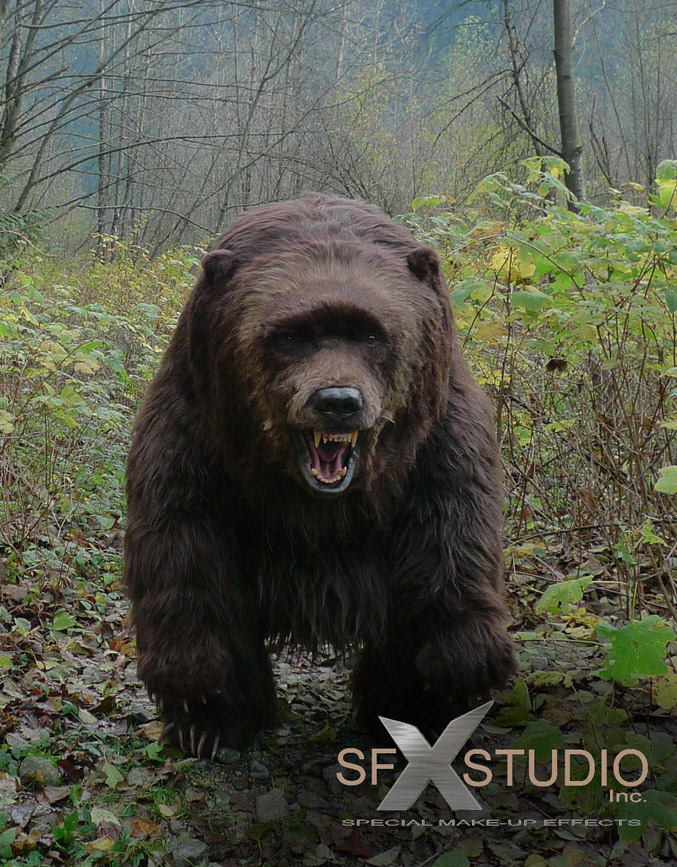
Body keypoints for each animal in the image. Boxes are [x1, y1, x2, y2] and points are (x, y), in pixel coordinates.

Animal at [124, 194, 517, 759]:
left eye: (372, 334)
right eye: (292, 336)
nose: (337, 401)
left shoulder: (436, 443)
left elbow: (450, 544)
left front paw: (453, 676)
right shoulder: (198, 431)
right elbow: (186, 549)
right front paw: (204, 702)